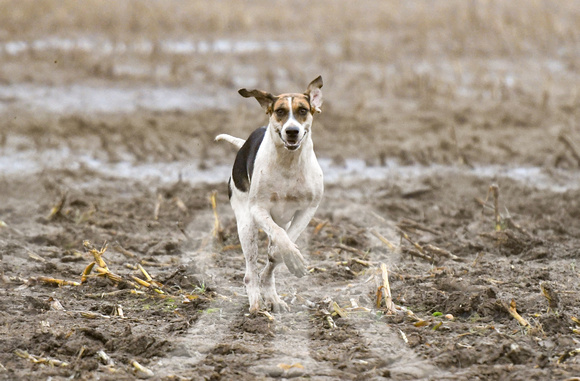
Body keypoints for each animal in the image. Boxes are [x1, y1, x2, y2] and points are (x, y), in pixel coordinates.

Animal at [216, 76, 326, 312]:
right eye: (280, 111)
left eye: (303, 110)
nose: (292, 131)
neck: (288, 163)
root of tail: (244, 145)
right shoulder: (258, 210)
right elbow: (281, 237)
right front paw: (293, 259)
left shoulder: (308, 210)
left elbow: (284, 241)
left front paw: (287, 259)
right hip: (246, 225)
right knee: (250, 271)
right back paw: (256, 303)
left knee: (269, 268)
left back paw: (273, 298)